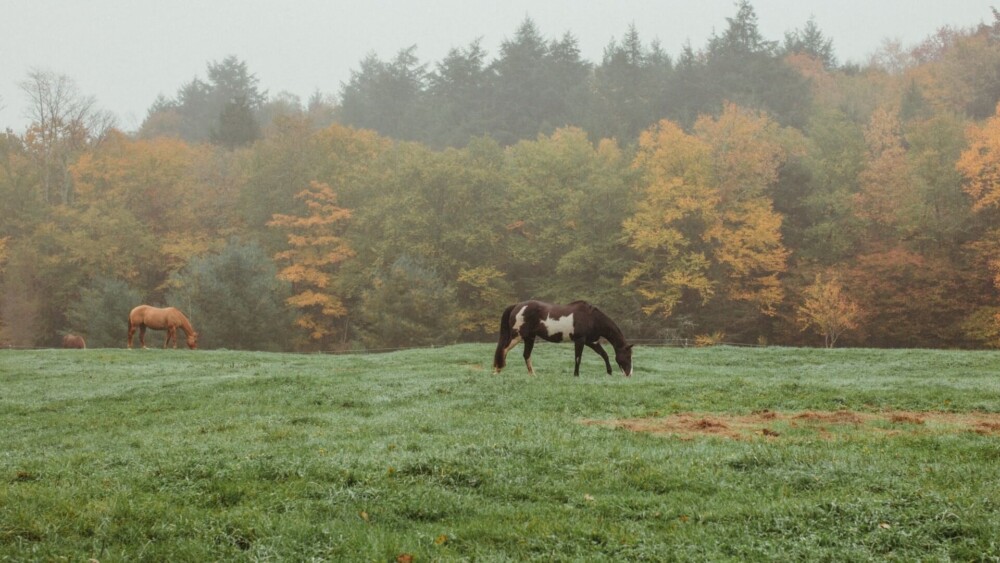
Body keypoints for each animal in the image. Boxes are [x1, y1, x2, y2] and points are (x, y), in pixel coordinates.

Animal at [492, 302, 632, 376]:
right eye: (628, 355)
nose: (629, 374)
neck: (591, 318)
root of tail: (516, 306)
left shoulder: (591, 342)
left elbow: (604, 355)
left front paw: (609, 372)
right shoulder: (580, 340)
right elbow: (578, 358)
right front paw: (576, 375)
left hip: (529, 338)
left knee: (526, 355)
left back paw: (533, 375)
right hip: (517, 336)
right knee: (503, 350)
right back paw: (497, 371)